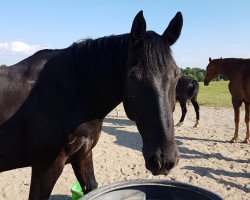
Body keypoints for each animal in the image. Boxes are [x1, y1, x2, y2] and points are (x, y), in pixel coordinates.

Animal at [0, 11, 184, 200]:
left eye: (177, 76)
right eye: (133, 77)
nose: (165, 160)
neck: (69, 94)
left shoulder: (83, 155)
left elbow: (92, 187)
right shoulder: (45, 168)